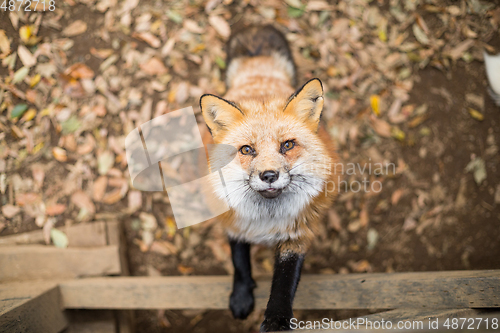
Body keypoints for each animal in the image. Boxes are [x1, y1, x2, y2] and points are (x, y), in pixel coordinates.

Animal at [199, 25, 340, 330]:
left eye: (287, 145)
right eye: (246, 150)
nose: (269, 175)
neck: (267, 218)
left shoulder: (298, 235)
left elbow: (284, 284)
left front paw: (276, 321)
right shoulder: (233, 221)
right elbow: (239, 262)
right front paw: (241, 297)